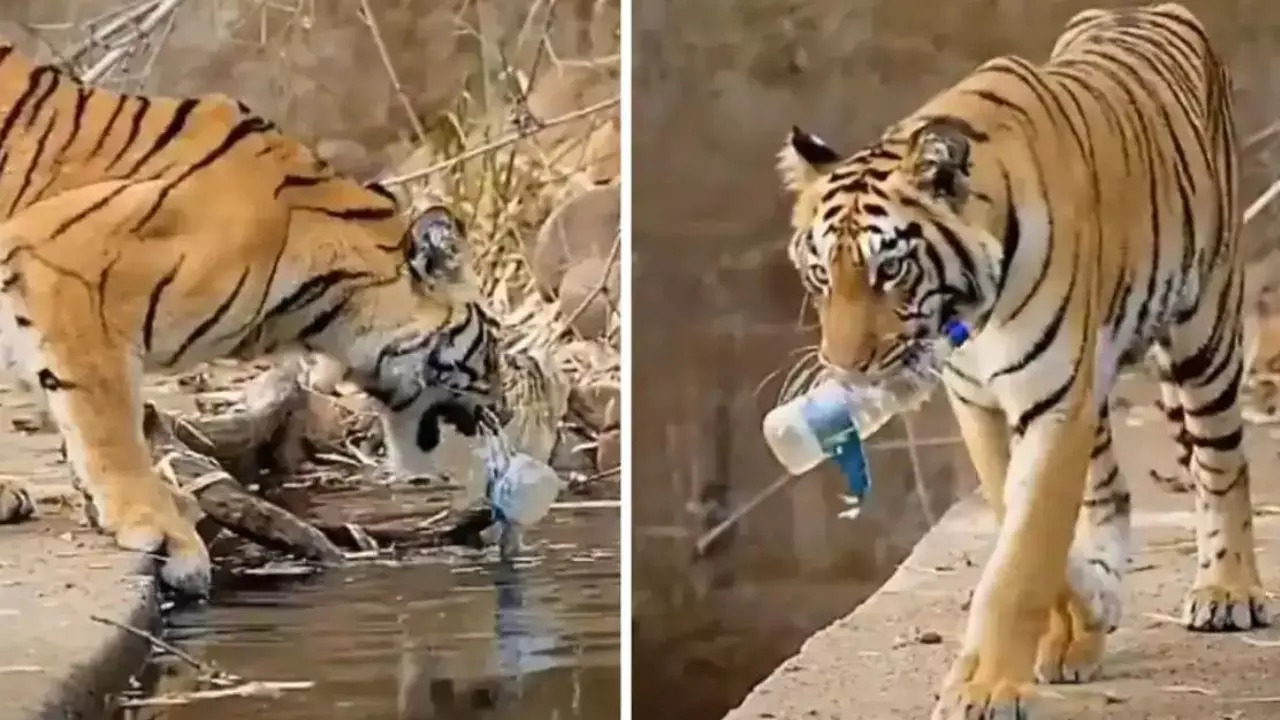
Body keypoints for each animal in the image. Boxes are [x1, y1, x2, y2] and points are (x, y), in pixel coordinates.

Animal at [773, 5, 1264, 717]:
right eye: (820, 275)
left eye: (889, 270)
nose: (848, 370)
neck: (973, 317)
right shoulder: (982, 404)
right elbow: (1023, 520)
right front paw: (1081, 614)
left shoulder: (1056, 402)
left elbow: (1021, 558)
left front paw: (985, 688)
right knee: (1111, 489)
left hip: (1206, 330)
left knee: (1221, 463)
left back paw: (1229, 590)